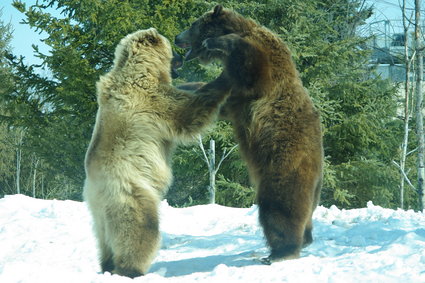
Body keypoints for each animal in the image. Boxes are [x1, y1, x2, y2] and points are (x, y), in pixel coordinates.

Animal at [174, 5, 322, 264]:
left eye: (193, 24)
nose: (176, 37)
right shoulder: (231, 90)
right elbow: (206, 92)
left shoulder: (261, 72)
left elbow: (254, 63)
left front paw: (218, 40)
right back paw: (304, 240)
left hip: (284, 163)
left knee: (280, 206)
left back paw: (281, 251)